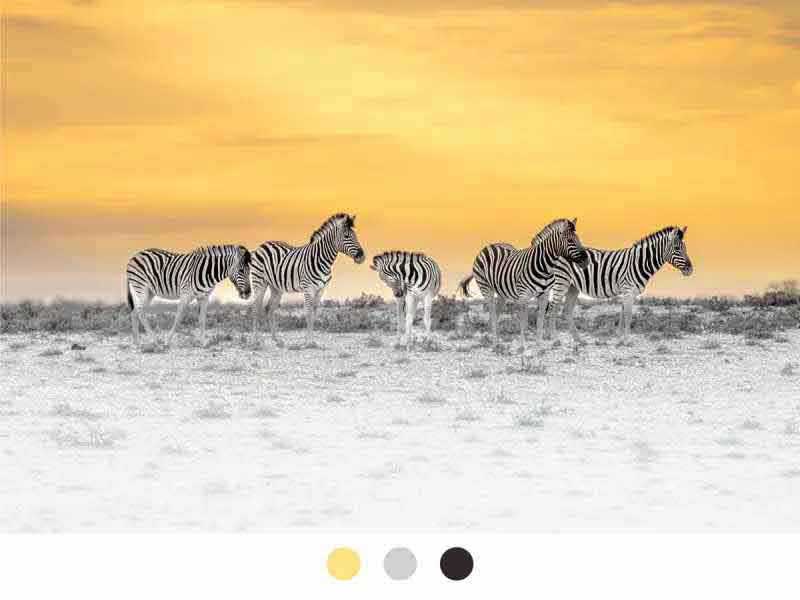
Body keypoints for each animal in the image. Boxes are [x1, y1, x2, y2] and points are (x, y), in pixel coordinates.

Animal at [250, 213, 365, 342]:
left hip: (276, 287)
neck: (322, 260)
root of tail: (262, 245)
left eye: (355, 235)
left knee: (269, 308)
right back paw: (255, 339)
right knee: (255, 307)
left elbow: (314, 313)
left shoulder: (321, 289)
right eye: (346, 236)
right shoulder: (308, 288)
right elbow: (308, 312)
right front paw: (308, 341)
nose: (362, 256)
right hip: (259, 282)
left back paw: (275, 339)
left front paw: (312, 339)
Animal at [458, 218, 589, 346]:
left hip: (502, 293)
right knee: (492, 312)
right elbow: (523, 321)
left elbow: (540, 320)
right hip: (485, 287)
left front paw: (539, 344)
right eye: (570, 240)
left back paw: (496, 339)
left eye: (578, 239)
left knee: (496, 313)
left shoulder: (544, 295)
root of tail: (489, 246)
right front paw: (522, 345)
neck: (545, 267)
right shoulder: (523, 295)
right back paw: (494, 341)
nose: (586, 260)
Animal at [542, 225, 693, 342]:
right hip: (561, 281)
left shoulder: (628, 291)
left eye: (685, 248)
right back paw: (553, 337)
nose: (690, 269)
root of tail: (557, 251)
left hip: (573, 286)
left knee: (567, 310)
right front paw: (626, 340)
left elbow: (622, 313)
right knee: (553, 308)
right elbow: (628, 314)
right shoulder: (628, 289)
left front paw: (620, 336)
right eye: (677, 248)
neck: (640, 262)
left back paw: (578, 338)